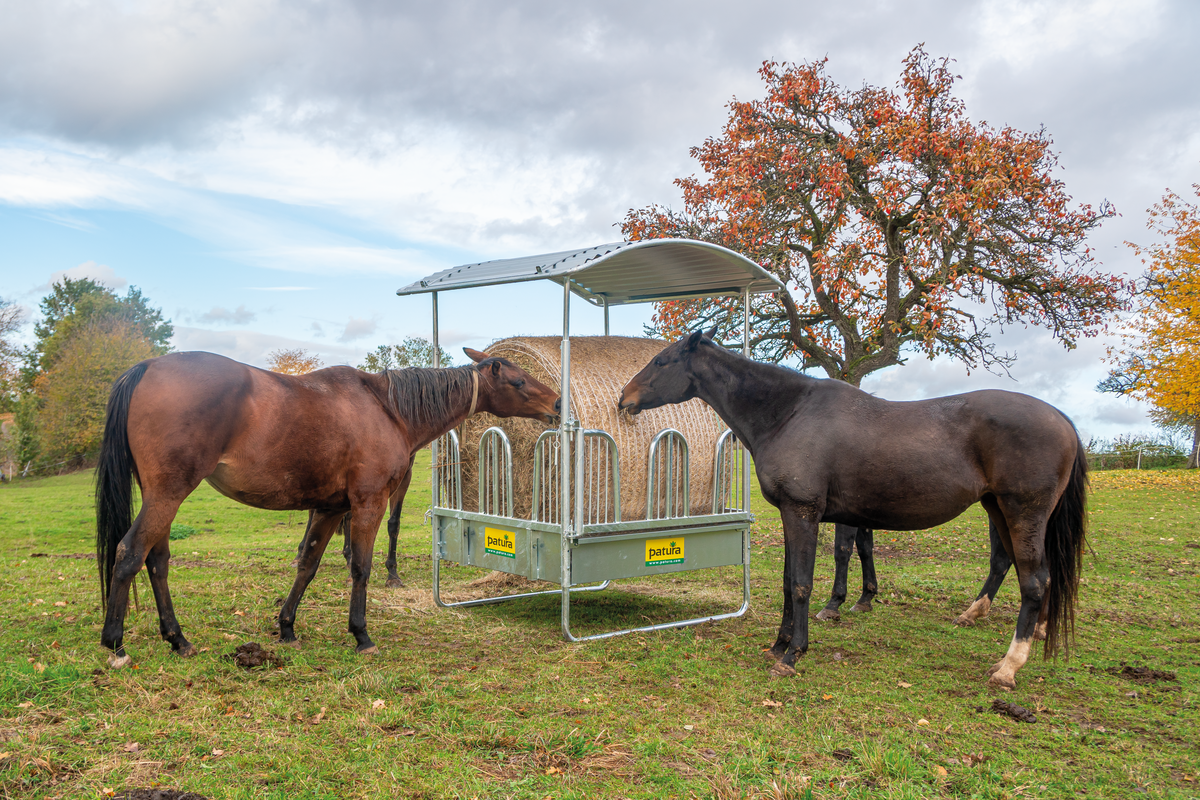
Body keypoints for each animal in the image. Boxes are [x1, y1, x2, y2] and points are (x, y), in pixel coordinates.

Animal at [96, 347, 559, 666]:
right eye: (518, 381)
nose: (556, 404)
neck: (387, 409)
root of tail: (147, 367)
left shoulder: (330, 508)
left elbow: (308, 564)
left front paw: (286, 627)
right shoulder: (369, 504)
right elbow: (361, 567)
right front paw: (361, 634)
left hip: (163, 498)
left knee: (157, 561)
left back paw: (177, 638)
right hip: (168, 494)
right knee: (130, 553)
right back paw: (115, 642)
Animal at [619, 328, 1089, 690]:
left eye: (661, 361)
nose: (624, 397)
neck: (790, 413)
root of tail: (1062, 419)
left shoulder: (803, 513)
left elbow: (803, 584)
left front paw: (793, 654)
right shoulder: (793, 516)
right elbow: (789, 581)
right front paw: (779, 644)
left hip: (1022, 514)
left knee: (1033, 582)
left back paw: (1008, 667)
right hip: (1000, 511)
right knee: (1025, 569)